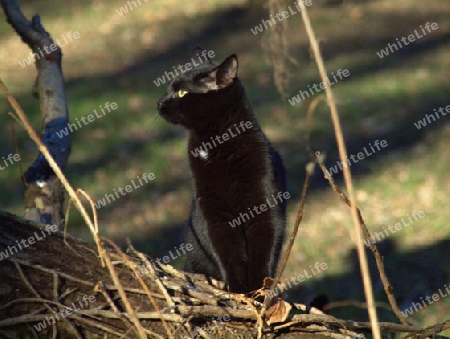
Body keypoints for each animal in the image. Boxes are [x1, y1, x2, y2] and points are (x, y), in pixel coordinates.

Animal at [156, 48, 286, 294]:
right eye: (168, 89)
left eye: (181, 92)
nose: (158, 102)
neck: (215, 144)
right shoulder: (212, 211)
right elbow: (226, 251)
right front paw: (237, 289)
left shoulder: (265, 202)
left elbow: (264, 248)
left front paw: (258, 291)